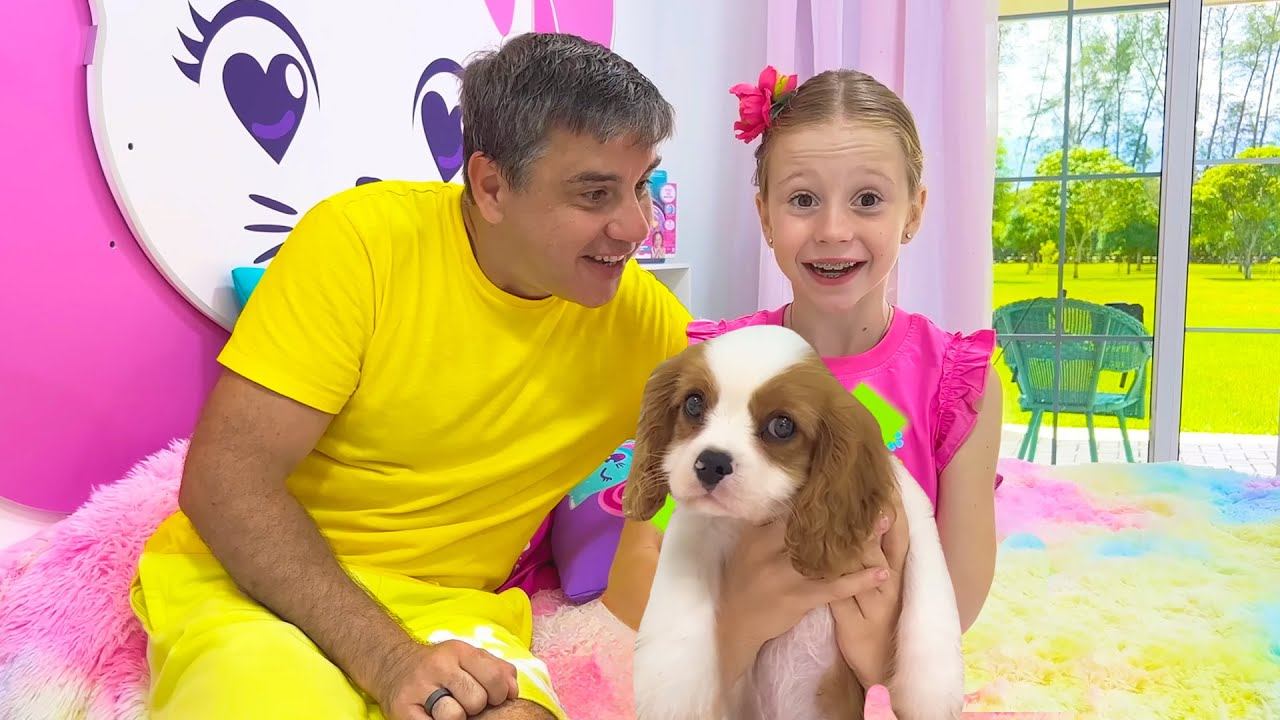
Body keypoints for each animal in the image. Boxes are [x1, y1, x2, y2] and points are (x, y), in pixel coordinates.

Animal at [623, 324, 963, 720]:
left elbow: (932, 589)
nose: (711, 463)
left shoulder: (909, 511)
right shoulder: (698, 524)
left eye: (781, 426)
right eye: (693, 403)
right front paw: (670, 690)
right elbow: (679, 583)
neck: (774, 514)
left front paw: (931, 693)